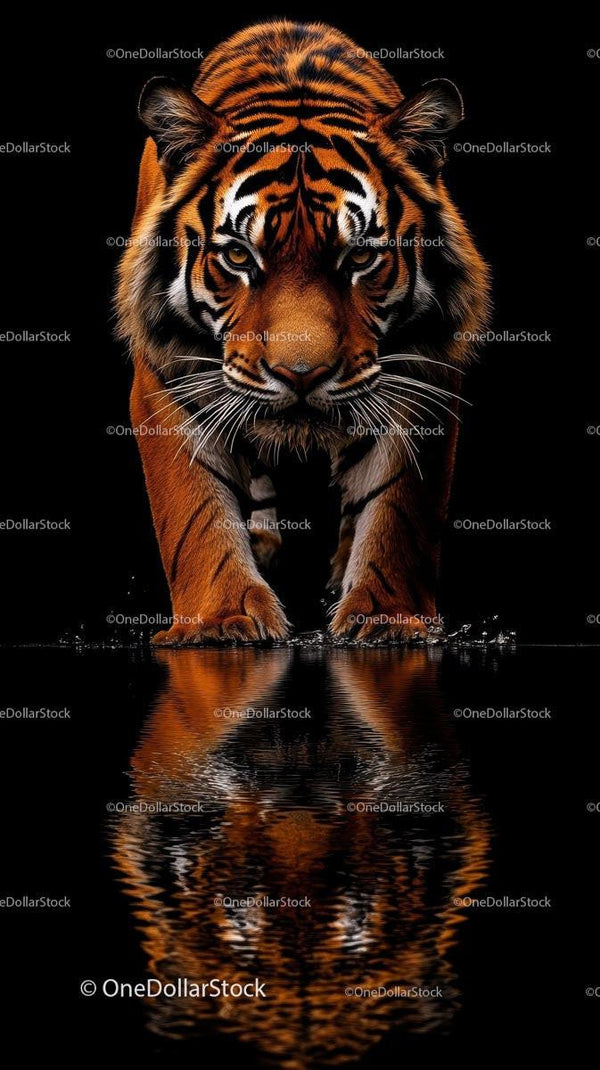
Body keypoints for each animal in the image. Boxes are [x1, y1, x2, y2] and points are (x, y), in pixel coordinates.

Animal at [116, 19, 490, 645]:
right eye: (238, 256)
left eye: (359, 256)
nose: (301, 374)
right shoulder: (166, 376)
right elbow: (195, 511)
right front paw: (221, 618)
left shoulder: (426, 372)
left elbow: (398, 510)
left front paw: (385, 619)